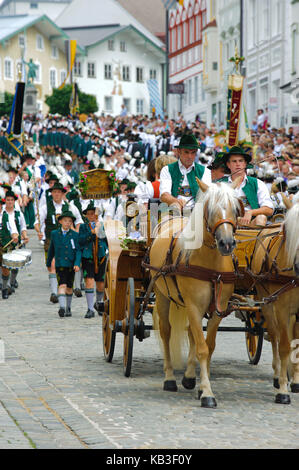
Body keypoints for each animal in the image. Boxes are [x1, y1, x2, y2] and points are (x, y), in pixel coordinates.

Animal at [149, 180, 245, 408]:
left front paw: (202, 386)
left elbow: (208, 345)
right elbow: (202, 348)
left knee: (192, 333)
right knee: (166, 331)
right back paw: (170, 378)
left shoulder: (218, 309)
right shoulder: (193, 305)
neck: (211, 264)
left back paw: (190, 377)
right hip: (162, 296)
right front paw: (208, 393)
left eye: (236, 209)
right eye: (210, 210)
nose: (227, 243)